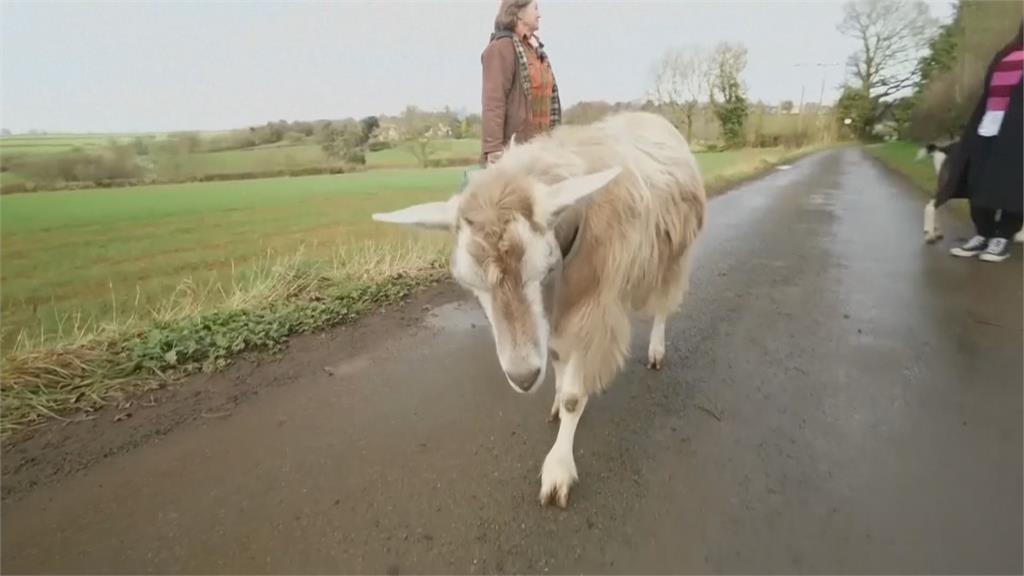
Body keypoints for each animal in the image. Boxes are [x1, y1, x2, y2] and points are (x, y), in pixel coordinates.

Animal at [372, 109, 708, 504]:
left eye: (544, 268)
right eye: (471, 284)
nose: (523, 377)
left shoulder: (590, 308)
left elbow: (576, 397)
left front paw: (558, 469)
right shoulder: (555, 315)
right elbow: (560, 364)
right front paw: (556, 398)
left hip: (672, 255)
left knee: (662, 305)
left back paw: (657, 350)